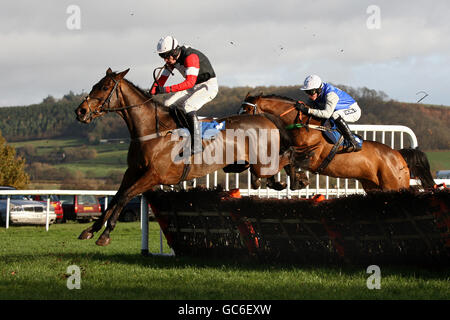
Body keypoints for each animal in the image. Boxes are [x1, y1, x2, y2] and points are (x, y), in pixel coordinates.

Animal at [75, 69, 298, 246]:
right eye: (95, 85)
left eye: (104, 87)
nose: (81, 111)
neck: (151, 130)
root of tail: (265, 117)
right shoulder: (133, 171)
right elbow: (115, 197)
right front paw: (90, 230)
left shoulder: (154, 176)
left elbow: (124, 196)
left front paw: (105, 234)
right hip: (249, 164)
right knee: (271, 169)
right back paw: (279, 181)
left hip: (262, 163)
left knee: (288, 155)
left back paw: (296, 179)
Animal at [243, 94, 436, 191]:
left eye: (245, 109)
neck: (304, 125)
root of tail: (397, 155)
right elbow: (282, 160)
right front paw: (288, 182)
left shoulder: (311, 156)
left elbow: (287, 160)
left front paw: (296, 181)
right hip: (373, 188)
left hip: (393, 186)